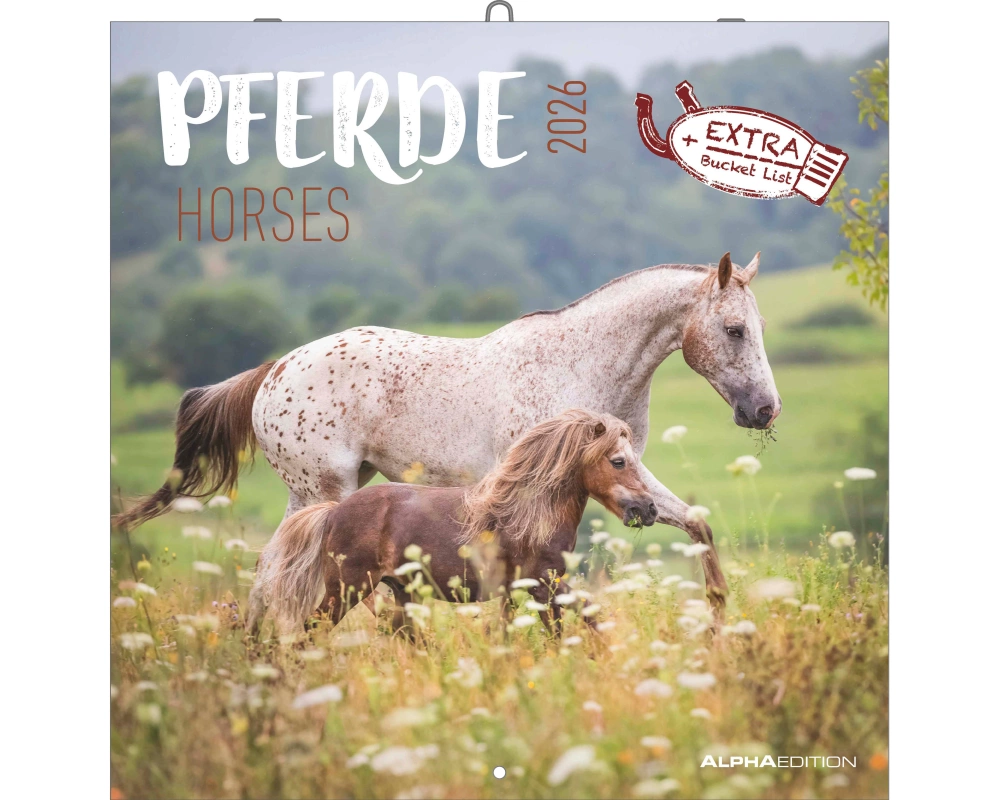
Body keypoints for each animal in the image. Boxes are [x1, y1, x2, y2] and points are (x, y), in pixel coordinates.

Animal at [116, 251, 781, 613]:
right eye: (734, 329)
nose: (765, 410)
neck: (581, 363)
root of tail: (274, 368)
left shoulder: (631, 482)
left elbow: (695, 522)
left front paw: (721, 619)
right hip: (323, 490)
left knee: (272, 569)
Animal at [245, 409, 657, 636]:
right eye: (618, 461)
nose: (649, 509)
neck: (527, 515)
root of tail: (332, 512)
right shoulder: (545, 586)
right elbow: (576, 623)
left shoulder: (524, 591)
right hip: (347, 589)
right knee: (312, 630)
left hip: (400, 592)